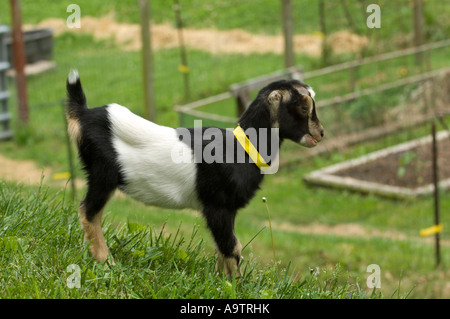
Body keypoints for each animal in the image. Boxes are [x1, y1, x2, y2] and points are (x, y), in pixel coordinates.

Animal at [65, 69, 322, 276]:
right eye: (303, 107)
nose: (320, 134)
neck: (241, 148)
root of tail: (83, 114)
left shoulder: (227, 210)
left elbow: (224, 247)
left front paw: (220, 279)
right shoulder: (217, 206)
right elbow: (233, 247)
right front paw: (235, 284)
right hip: (103, 175)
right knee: (88, 211)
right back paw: (107, 262)